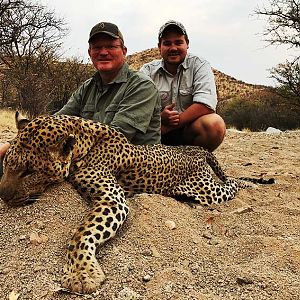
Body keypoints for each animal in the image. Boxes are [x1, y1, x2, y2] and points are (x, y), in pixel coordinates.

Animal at [0, 112, 274, 292]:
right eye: (6, 163)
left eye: (29, 171)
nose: (2, 194)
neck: (82, 144)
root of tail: (195, 150)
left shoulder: (113, 199)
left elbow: (82, 232)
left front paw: (82, 273)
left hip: (208, 190)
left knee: (232, 184)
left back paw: (250, 185)